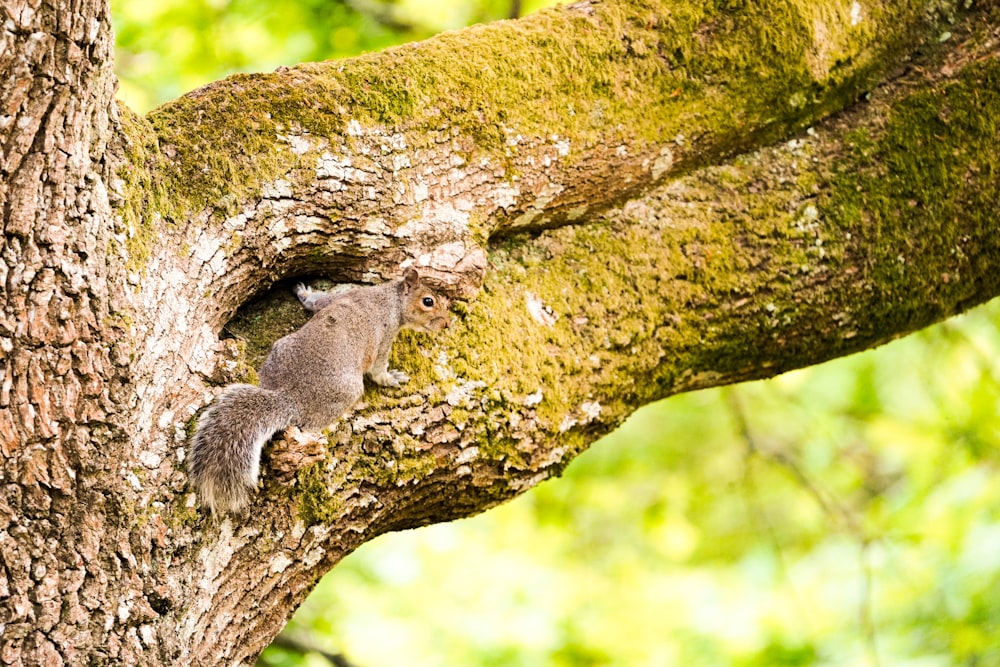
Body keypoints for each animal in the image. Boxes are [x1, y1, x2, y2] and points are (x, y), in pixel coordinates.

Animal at [188, 268, 454, 516]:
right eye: (428, 301)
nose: (446, 323)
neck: (389, 298)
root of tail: (290, 397)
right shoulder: (384, 339)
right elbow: (378, 370)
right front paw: (391, 379)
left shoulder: (341, 296)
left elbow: (317, 302)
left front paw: (304, 292)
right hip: (347, 393)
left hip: (280, 348)